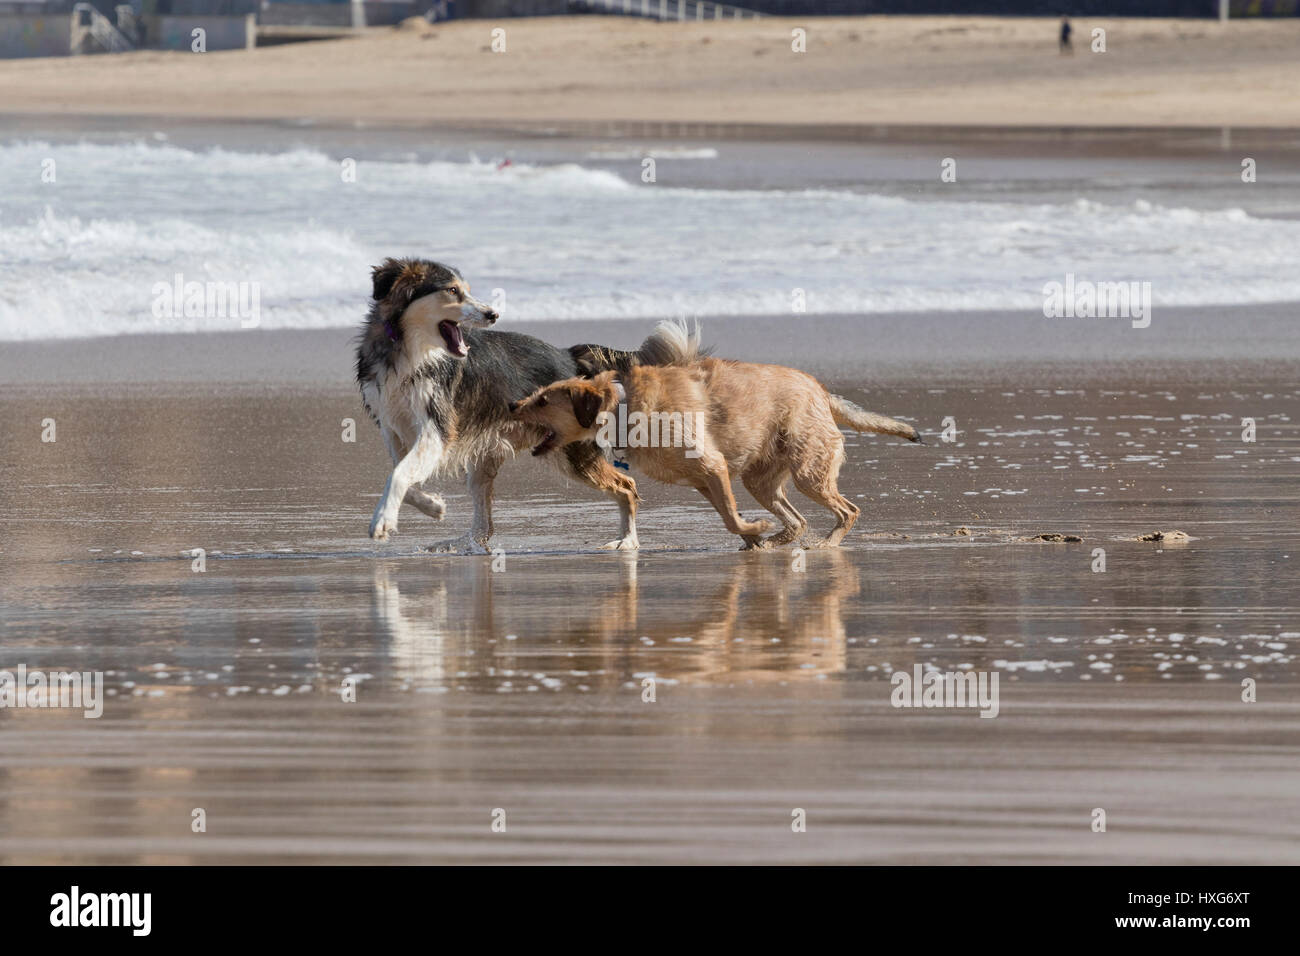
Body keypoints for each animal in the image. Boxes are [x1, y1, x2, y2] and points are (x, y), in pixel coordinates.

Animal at [356, 257, 681, 548]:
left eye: (466, 290)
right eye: (452, 291)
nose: (493, 314)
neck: (409, 351)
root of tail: (569, 356)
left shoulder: (437, 428)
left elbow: (398, 474)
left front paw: (382, 520)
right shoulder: (391, 426)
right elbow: (402, 472)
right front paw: (433, 506)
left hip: (571, 450)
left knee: (626, 486)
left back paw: (627, 541)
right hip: (488, 452)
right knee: (485, 527)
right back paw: (460, 544)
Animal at [506, 351, 925, 546]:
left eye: (543, 401)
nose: (511, 405)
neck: (625, 406)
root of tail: (822, 392)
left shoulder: (712, 467)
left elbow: (731, 518)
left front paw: (754, 531)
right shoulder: (702, 480)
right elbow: (729, 516)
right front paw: (754, 539)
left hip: (810, 471)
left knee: (847, 510)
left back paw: (826, 546)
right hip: (763, 480)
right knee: (798, 519)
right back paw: (783, 539)